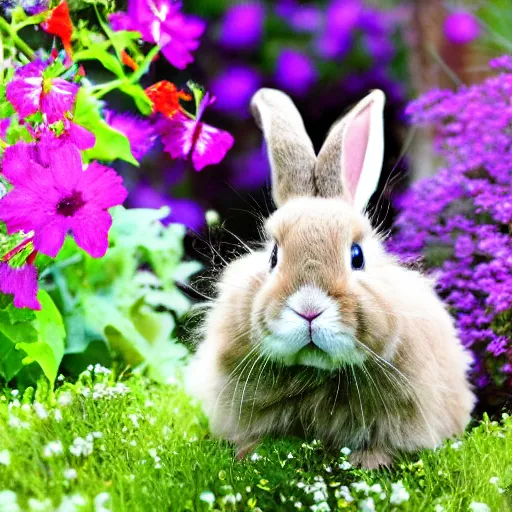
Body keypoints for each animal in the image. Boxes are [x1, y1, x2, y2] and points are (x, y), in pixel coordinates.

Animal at [185, 88, 476, 468]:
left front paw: (371, 462)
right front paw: (249, 455)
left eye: (357, 256)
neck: (318, 372)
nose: (309, 309)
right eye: (273, 257)